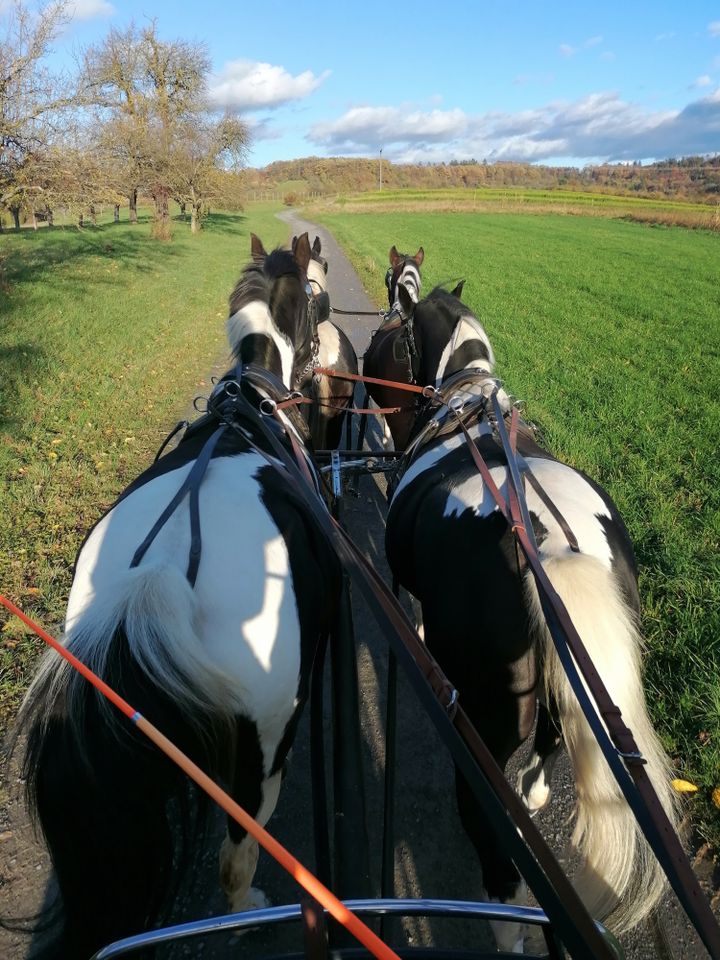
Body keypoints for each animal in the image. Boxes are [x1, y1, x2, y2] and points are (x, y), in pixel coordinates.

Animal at [18, 232, 338, 960]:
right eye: (318, 297)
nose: (331, 349)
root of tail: (157, 580)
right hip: (262, 755)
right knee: (236, 856)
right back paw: (248, 908)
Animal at [386, 282, 676, 948]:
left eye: (401, 331)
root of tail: (547, 544)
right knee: (550, 738)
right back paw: (538, 793)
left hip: (483, 729)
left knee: (491, 834)